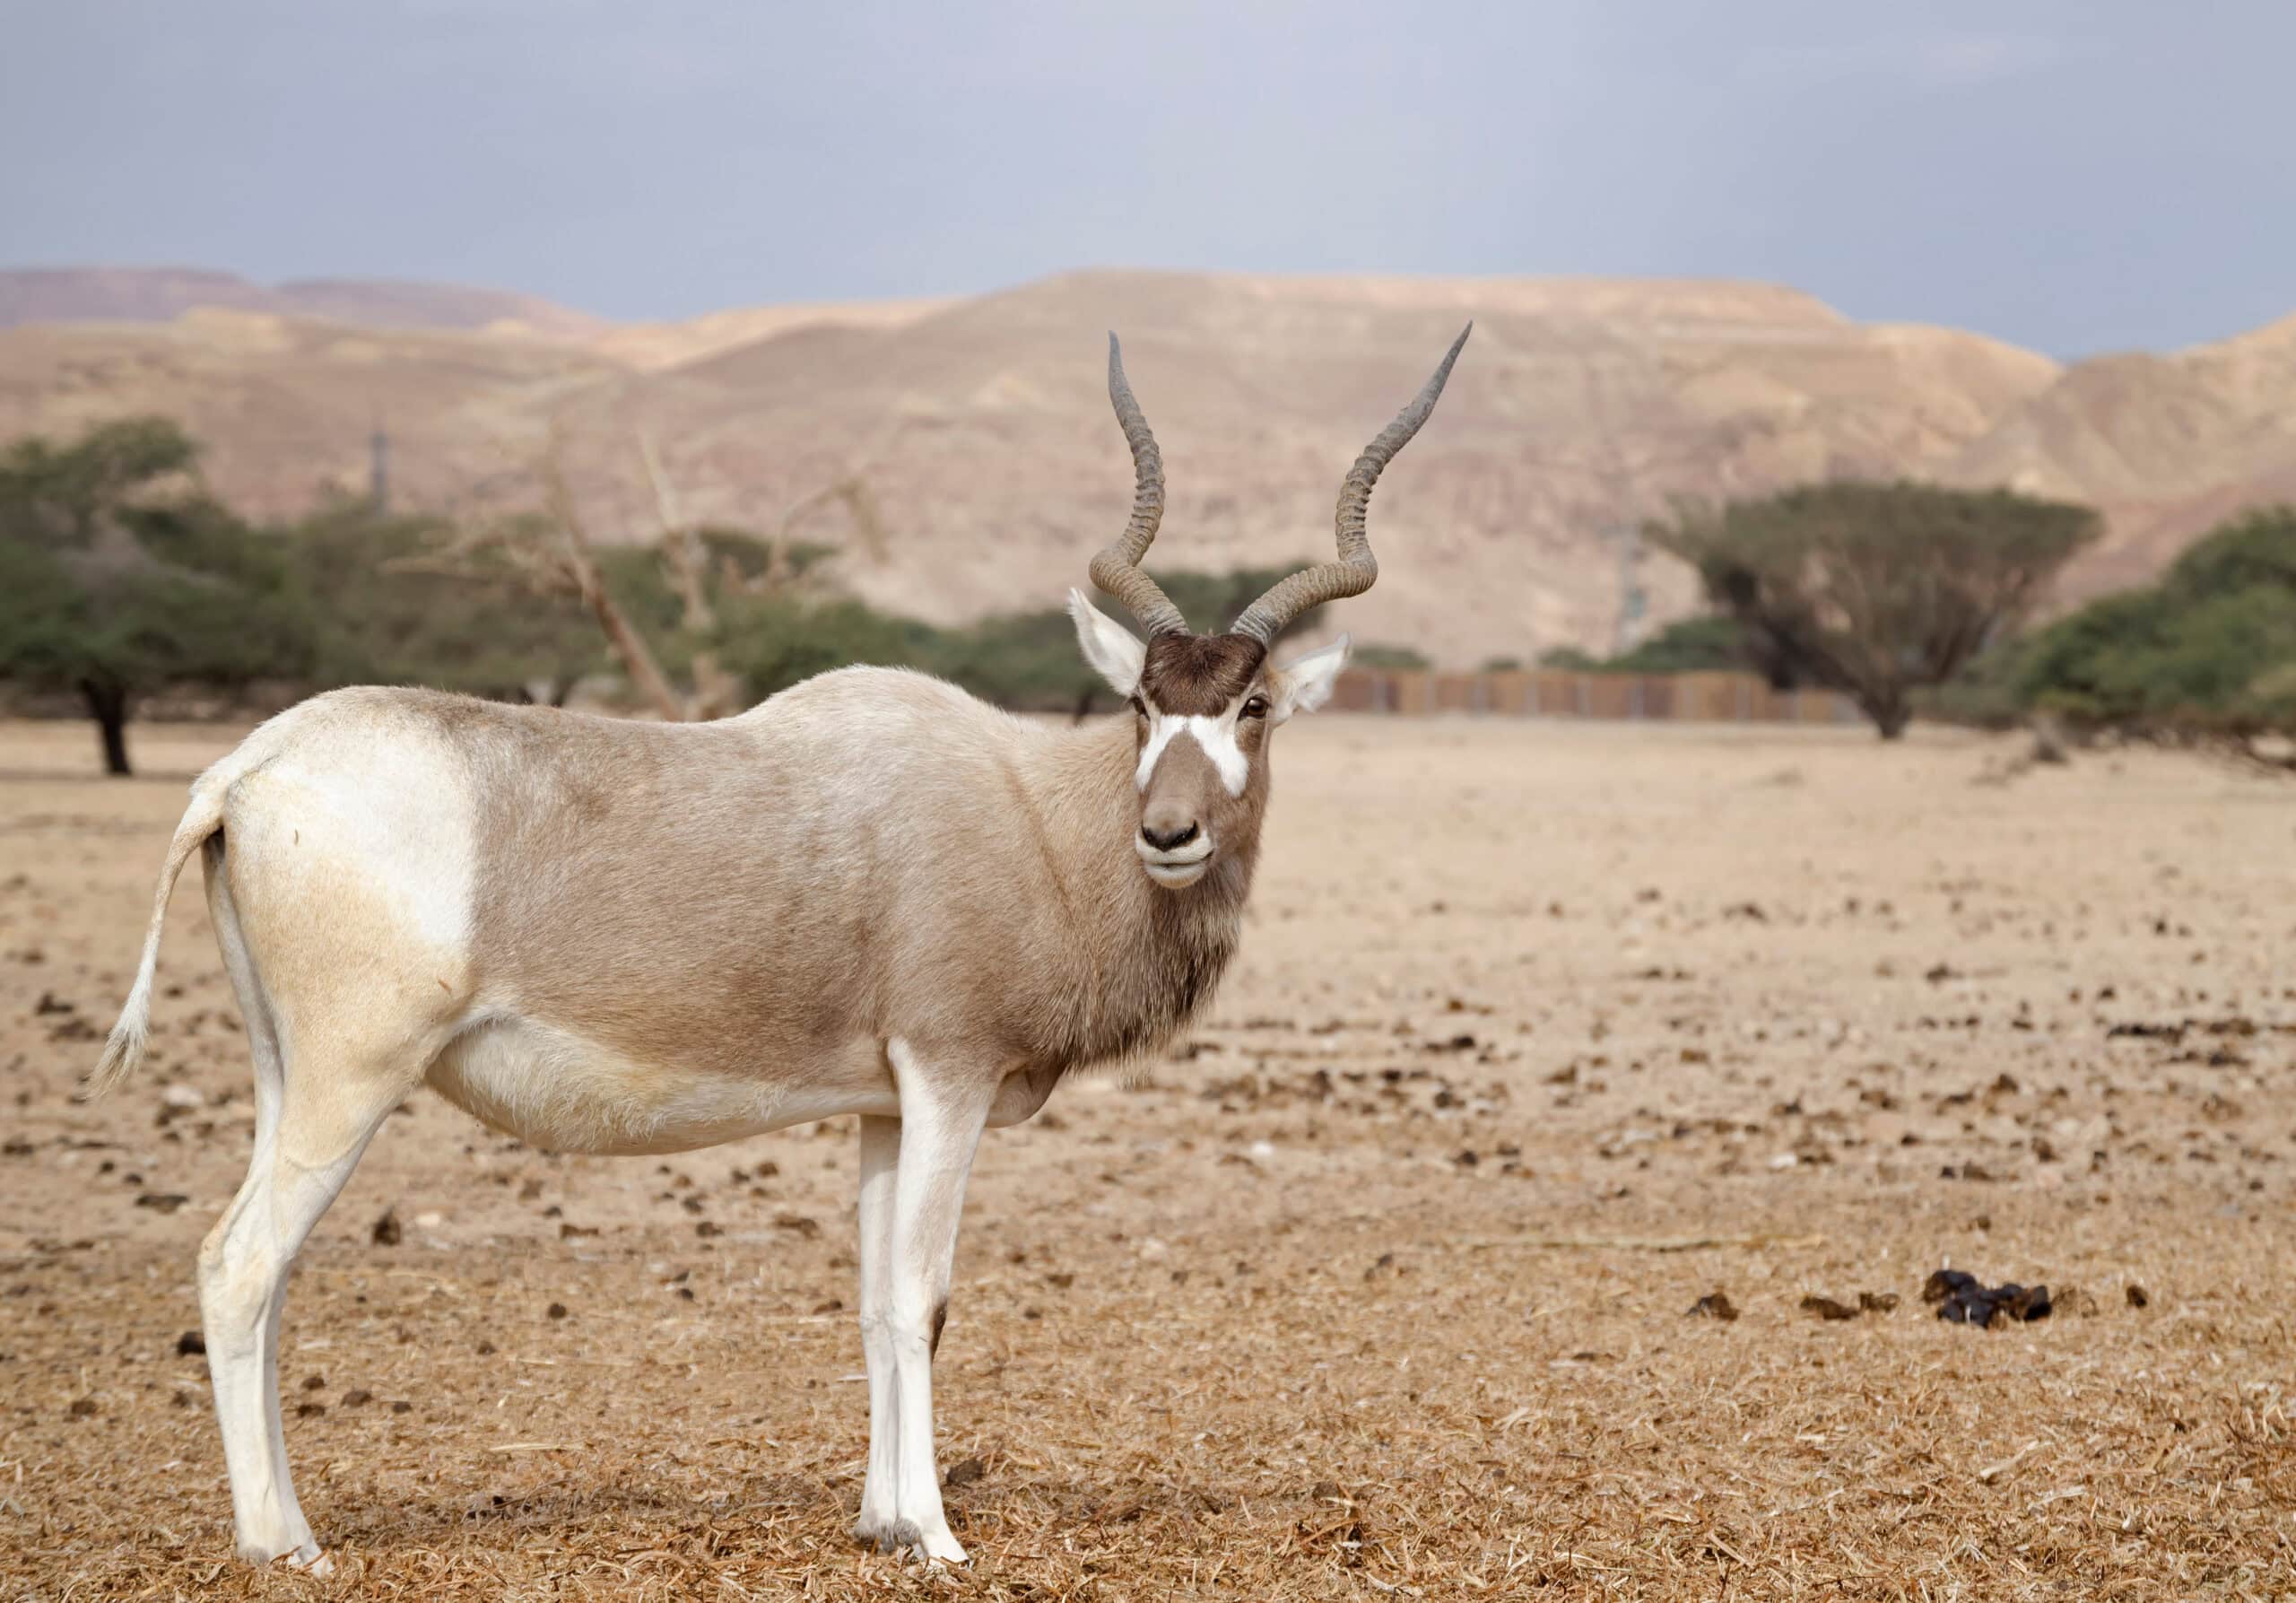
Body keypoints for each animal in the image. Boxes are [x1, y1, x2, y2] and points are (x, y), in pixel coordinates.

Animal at [89, 321, 1469, 1561]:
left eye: (1251, 702)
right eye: (1140, 698)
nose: (1170, 830)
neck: (1029, 805)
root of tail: (244, 768)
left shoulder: (884, 1103)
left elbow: (877, 1303)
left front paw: (882, 1518)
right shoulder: (950, 1077)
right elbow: (920, 1294)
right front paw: (938, 1536)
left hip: (286, 1069)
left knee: (265, 1277)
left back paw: (288, 1523)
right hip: (352, 1073)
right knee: (239, 1262)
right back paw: (283, 1547)